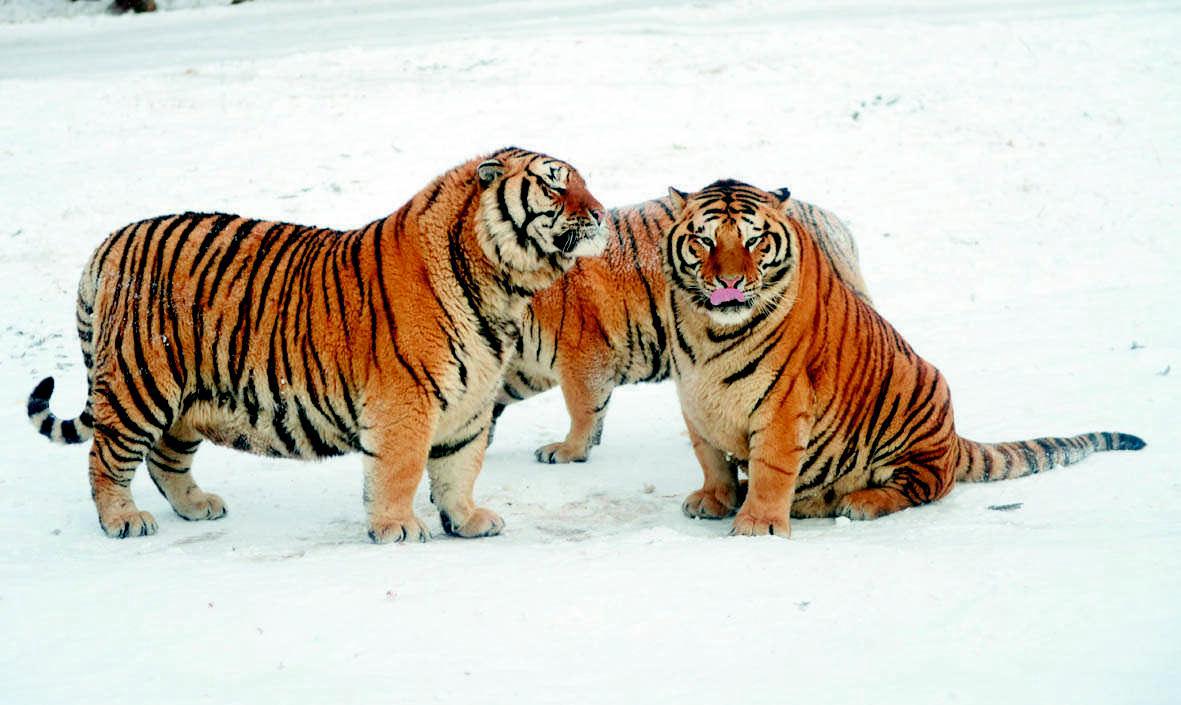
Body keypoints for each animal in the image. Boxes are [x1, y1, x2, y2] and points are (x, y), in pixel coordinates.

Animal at [25, 147, 607, 543]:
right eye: (555, 187)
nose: (601, 213)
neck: (503, 289)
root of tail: (107, 244)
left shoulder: (470, 402)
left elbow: (459, 467)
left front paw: (466, 520)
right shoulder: (405, 402)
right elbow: (400, 470)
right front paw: (397, 527)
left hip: (188, 397)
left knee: (166, 459)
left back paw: (197, 506)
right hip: (141, 384)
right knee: (106, 458)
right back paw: (123, 520)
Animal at [662, 179, 1145, 537]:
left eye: (755, 241)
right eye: (703, 240)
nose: (729, 282)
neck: (710, 333)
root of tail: (953, 440)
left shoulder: (783, 402)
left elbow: (773, 467)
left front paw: (757, 525)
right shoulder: (694, 399)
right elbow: (711, 458)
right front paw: (715, 498)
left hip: (921, 403)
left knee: (924, 486)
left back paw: (858, 501)